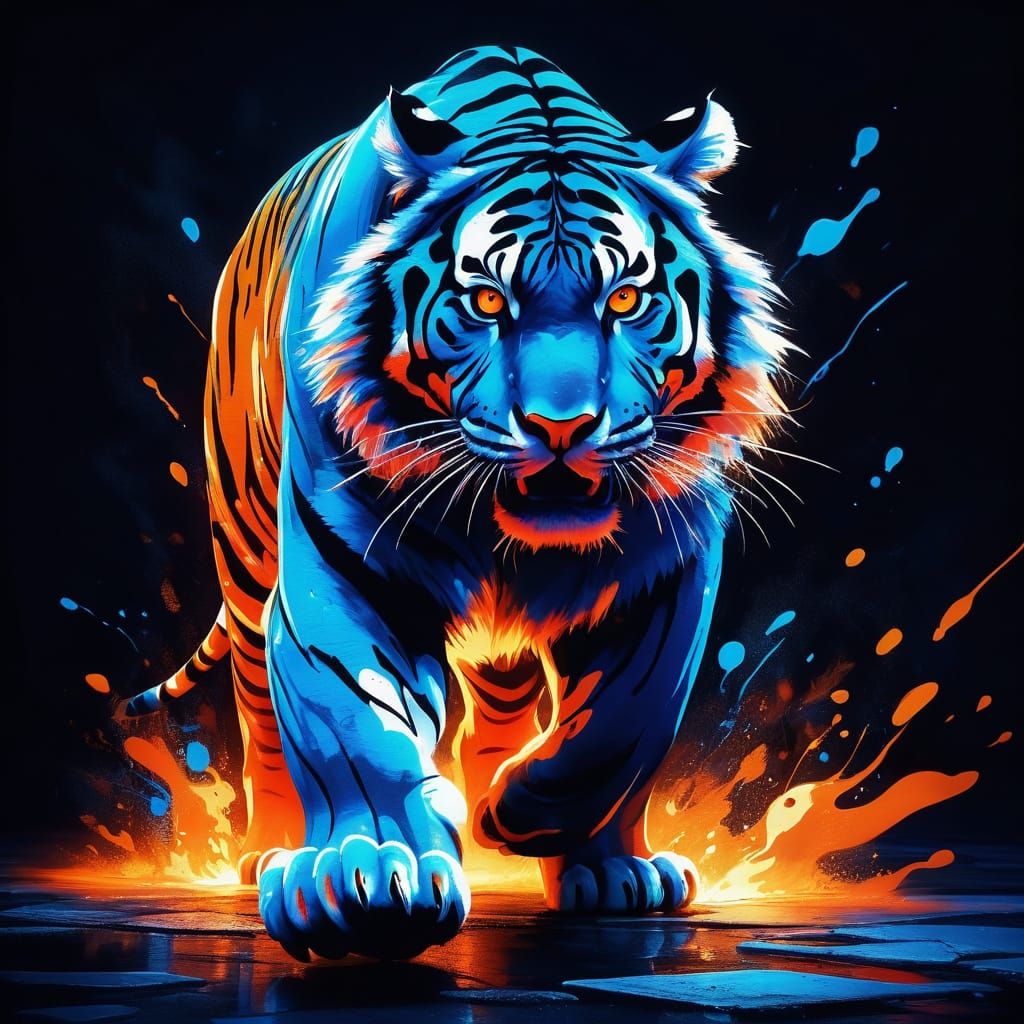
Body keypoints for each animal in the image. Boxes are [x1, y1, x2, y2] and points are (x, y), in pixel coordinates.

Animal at [127, 45, 792, 961]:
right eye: (485, 302)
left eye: (625, 299)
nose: (562, 427)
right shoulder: (344, 565)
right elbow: (355, 721)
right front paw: (370, 875)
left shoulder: (671, 563)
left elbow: (626, 724)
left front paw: (548, 834)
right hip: (247, 545)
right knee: (258, 700)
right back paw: (271, 845)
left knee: (500, 709)